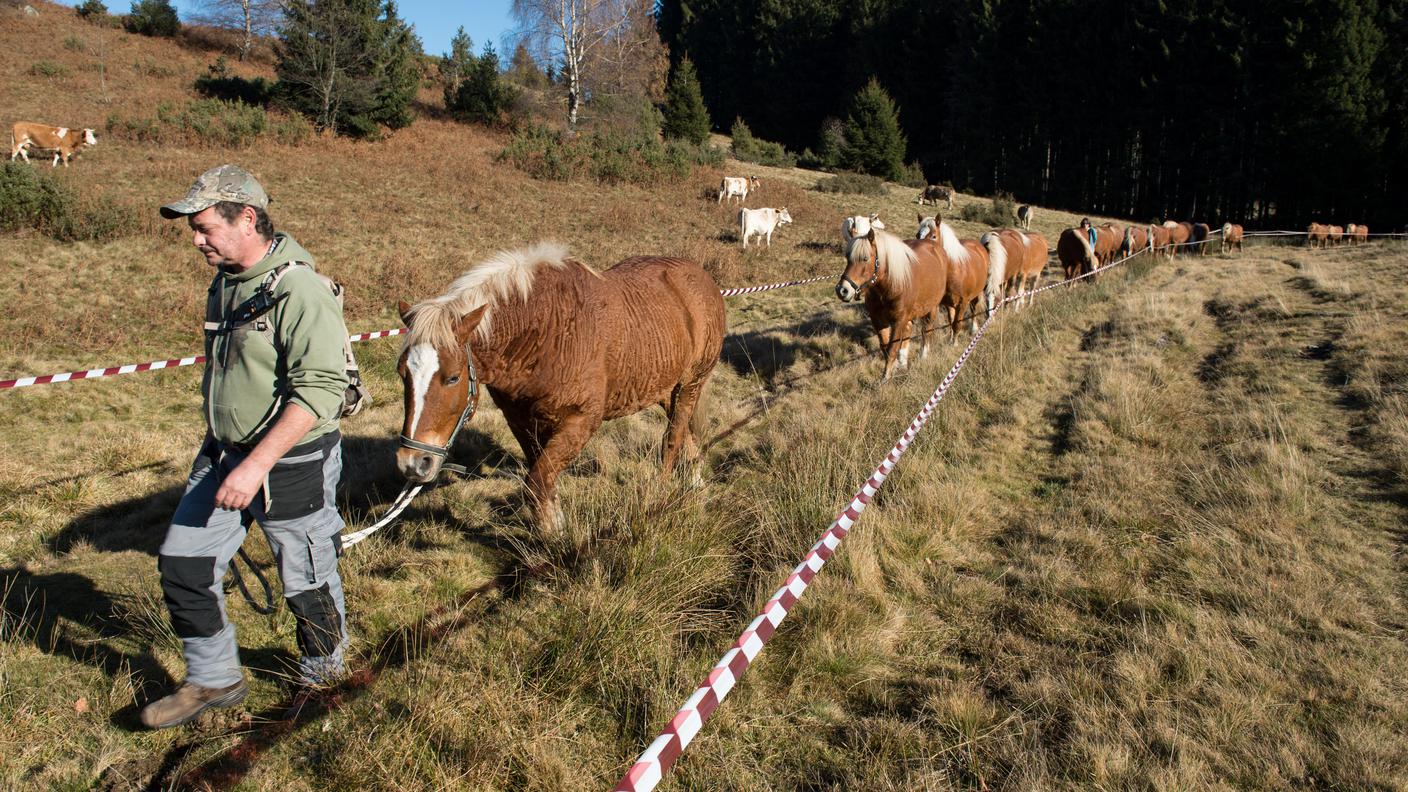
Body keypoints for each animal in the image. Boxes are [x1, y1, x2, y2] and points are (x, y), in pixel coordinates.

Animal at [397, 240, 726, 529]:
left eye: (452, 377)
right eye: (402, 373)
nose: (413, 463)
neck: (545, 332)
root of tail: (703, 278)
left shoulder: (580, 421)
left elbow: (537, 481)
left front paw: (552, 533)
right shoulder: (522, 423)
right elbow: (541, 477)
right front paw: (554, 523)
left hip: (691, 383)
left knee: (672, 438)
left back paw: (661, 492)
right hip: (663, 387)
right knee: (684, 430)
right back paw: (694, 477)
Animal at [833, 218, 946, 380]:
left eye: (865, 258)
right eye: (847, 258)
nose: (842, 290)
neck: (888, 286)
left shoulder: (898, 321)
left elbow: (892, 348)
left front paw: (885, 378)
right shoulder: (878, 320)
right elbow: (885, 348)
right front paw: (893, 369)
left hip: (932, 308)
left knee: (927, 330)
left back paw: (923, 356)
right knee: (908, 332)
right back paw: (903, 363)